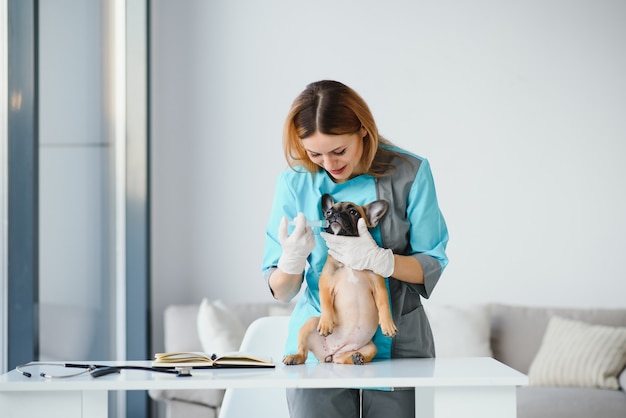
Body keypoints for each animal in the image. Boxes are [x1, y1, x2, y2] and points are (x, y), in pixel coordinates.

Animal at [282, 194, 394, 364]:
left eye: (353, 212)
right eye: (328, 211)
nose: (332, 214)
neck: (349, 262)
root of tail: (331, 353)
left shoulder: (378, 286)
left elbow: (384, 304)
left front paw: (388, 324)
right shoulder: (325, 285)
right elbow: (326, 304)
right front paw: (327, 323)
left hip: (370, 347)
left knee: (347, 358)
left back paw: (357, 357)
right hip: (309, 325)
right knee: (303, 352)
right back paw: (294, 357)